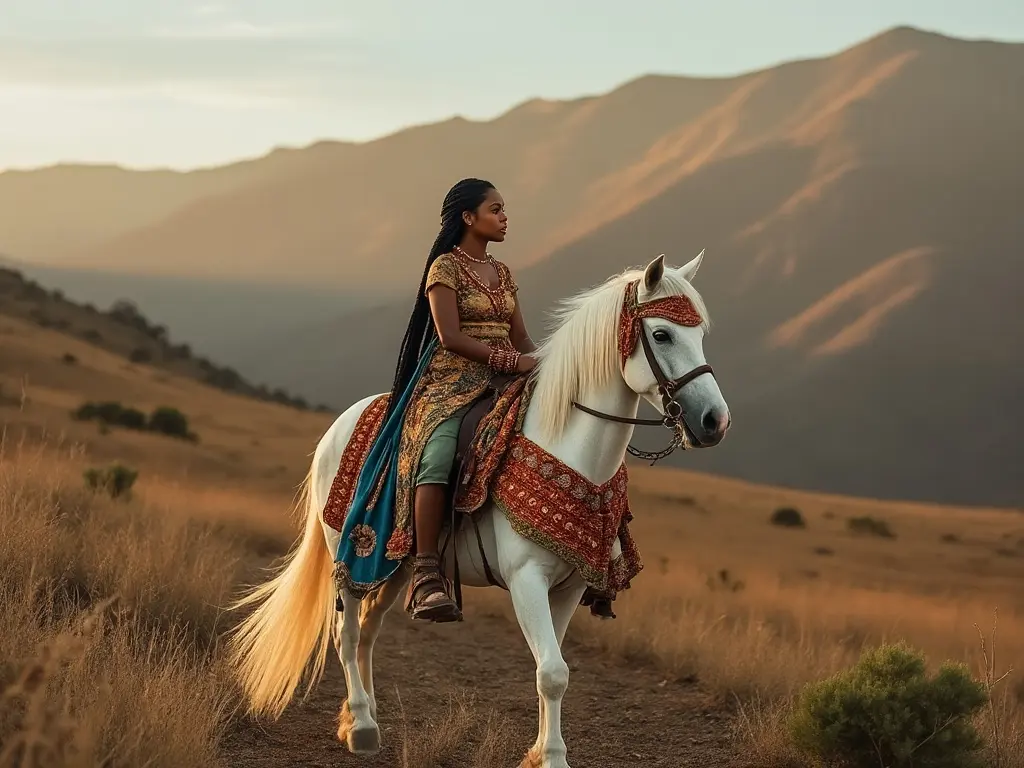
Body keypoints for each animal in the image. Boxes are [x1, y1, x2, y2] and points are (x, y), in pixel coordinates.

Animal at [229, 252, 733, 768]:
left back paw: (358, 718)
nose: (715, 421)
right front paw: (551, 757)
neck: (570, 448)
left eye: (700, 334)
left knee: (369, 630)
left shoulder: (569, 586)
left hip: (395, 565)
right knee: (346, 634)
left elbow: (552, 670)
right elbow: (552, 671)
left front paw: (539, 751)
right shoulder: (526, 579)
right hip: (348, 555)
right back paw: (363, 726)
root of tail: (339, 425)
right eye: (662, 335)